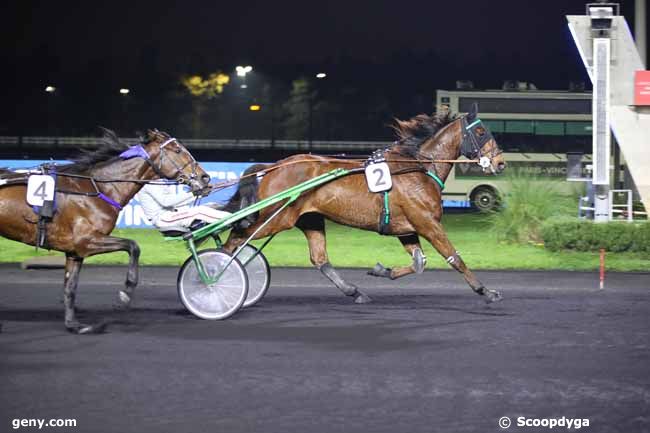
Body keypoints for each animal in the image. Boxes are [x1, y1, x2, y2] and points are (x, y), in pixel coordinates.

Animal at [0, 126, 209, 332]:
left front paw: (74, 324)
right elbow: (133, 246)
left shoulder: (75, 251)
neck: (98, 189)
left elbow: (70, 287)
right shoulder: (86, 240)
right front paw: (126, 292)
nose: (205, 177)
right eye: (178, 150)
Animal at [223, 104, 506, 304]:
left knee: (320, 259)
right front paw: (486, 291)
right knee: (235, 239)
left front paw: (381, 270)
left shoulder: (406, 228)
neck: (417, 168)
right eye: (481, 131)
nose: (500, 162)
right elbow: (454, 258)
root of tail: (274, 166)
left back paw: (354, 291)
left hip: (309, 219)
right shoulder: (427, 223)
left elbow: (419, 262)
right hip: (275, 218)